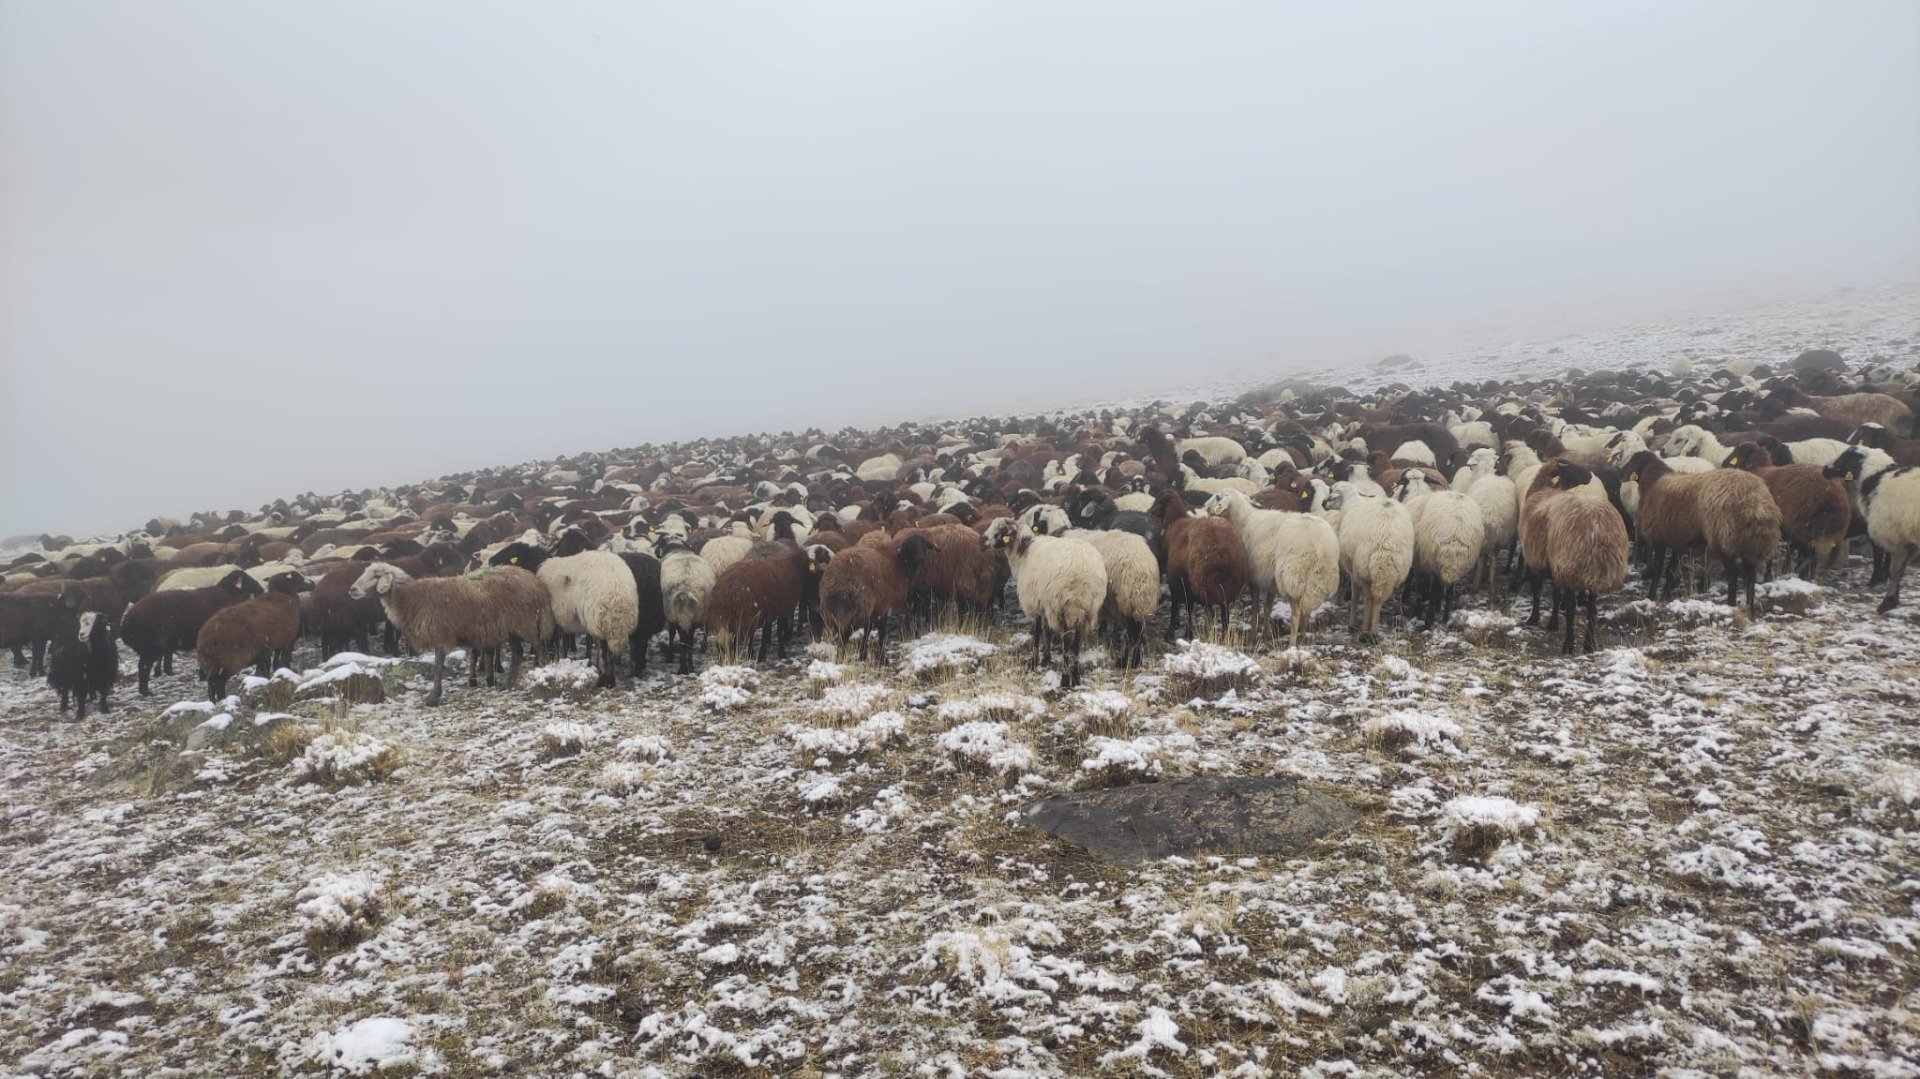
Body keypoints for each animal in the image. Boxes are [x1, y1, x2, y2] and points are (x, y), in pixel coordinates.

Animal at [118, 568, 264, 691]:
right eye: (246, 578)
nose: (261, 589)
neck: (229, 594)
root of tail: (126, 623)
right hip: (150, 648)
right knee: (143, 667)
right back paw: (146, 692)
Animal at [193, 568, 312, 702]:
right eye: (297, 577)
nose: (313, 583)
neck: (284, 595)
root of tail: (209, 636)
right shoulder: (284, 641)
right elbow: (280, 662)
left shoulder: (267, 649)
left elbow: (270, 666)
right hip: (231, 660)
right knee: (219, 682)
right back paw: (224, 699)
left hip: (211, 664)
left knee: (211, 685)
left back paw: (214, 701)